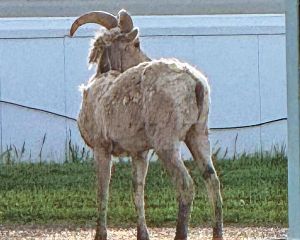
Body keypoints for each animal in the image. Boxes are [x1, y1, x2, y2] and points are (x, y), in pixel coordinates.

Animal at [71, 9, 223, 240]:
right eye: (136, 44)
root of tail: (196, 84)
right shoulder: (140, 152)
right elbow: (137, 190)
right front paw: (143, 234)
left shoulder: (101, 148)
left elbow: (102, 191)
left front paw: (100, 234)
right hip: (198, 134)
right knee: (212, 180)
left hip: (166, 143)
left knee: (186, 185)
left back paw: (180, 234)